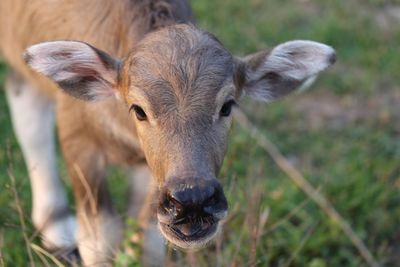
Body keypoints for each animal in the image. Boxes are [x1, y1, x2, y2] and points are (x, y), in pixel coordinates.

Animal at [0, 0, 334, 266]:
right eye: (139, 109)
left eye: (227, 106)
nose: (193, 200)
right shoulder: (78, 137)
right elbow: (100, 240)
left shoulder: (152, 173)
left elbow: (147, 240)